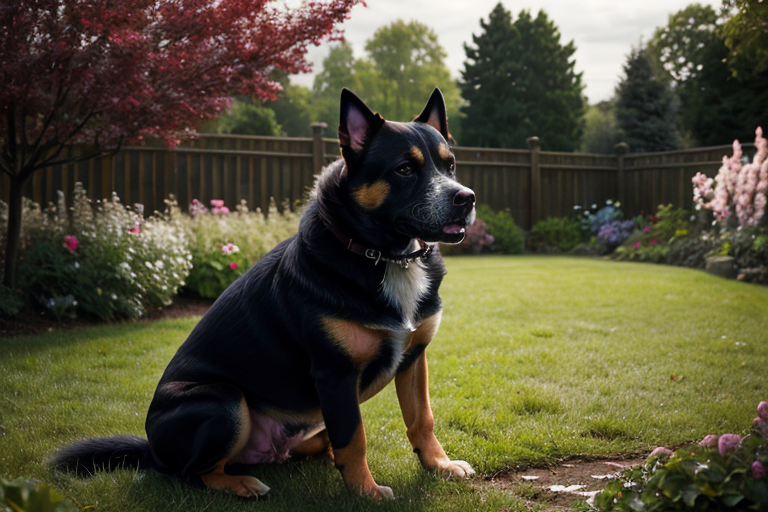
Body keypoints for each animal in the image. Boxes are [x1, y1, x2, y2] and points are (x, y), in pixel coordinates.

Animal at [51, 88, 474, 500]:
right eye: (404, 169)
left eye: (449, 165)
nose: (466, 198)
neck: (385, 257)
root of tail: (150, 448)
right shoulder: (334, 374)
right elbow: (355, 438)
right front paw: (366, 492)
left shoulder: (413, 358)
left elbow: (421, 419)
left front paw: (439, 465)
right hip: (224, 402)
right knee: (189, 473)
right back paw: (241, 485)